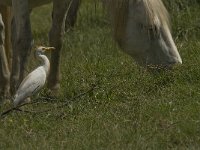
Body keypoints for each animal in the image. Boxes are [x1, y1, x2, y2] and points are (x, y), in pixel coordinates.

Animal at [0, 0, 182, 99]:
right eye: (151, 28)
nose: (175, 64)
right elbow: (24, 40)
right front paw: (22, 96)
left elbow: (57, 36)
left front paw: (53, 87)